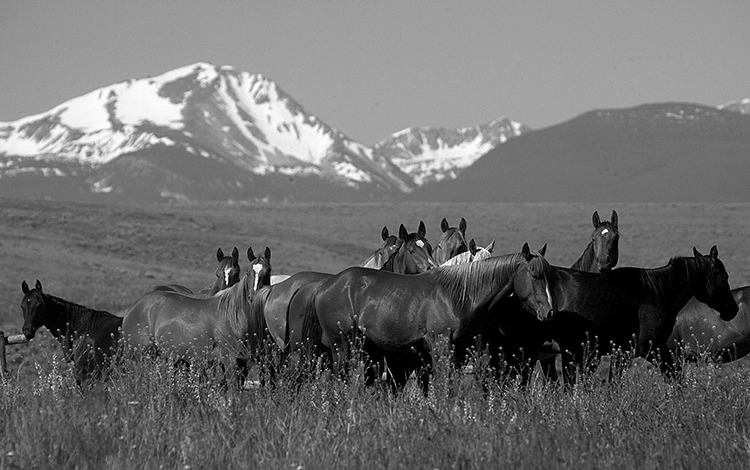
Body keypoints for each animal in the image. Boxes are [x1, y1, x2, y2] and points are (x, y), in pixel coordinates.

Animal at [120, 247, 272, 388]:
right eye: (247, 272)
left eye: (268, 271)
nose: (255, 297)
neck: (232, 316)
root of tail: (133, 308)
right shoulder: (230, 361)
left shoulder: (244, 363)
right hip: (141, 358)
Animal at [290, 243, 556, 395]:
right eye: (534, 275)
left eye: (548, 275)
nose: (549, 312)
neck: (458, 295)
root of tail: (325, 285)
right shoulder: (440, 348)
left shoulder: (457, 353)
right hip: (342, 348)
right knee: (339, 379)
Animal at [543, 246, 738, 383]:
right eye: (724, 276)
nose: (733, 308)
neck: (657, 291)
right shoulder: (650, 348)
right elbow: (675, 377)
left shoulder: (622, 352)